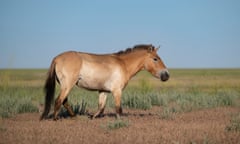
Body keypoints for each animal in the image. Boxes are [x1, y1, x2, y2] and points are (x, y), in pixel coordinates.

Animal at [40, 44, 170, 120]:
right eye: (155, 59)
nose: (166, 75)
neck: (123, 64)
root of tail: (56, 58)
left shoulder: (104, 91)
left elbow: (101, 107)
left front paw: (92, 117)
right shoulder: (117, 91)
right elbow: (118, 109)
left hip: (65, 86)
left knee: (64, 101)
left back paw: (74, 116)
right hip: (68, 85)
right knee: (59, 100)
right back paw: (56, 119)